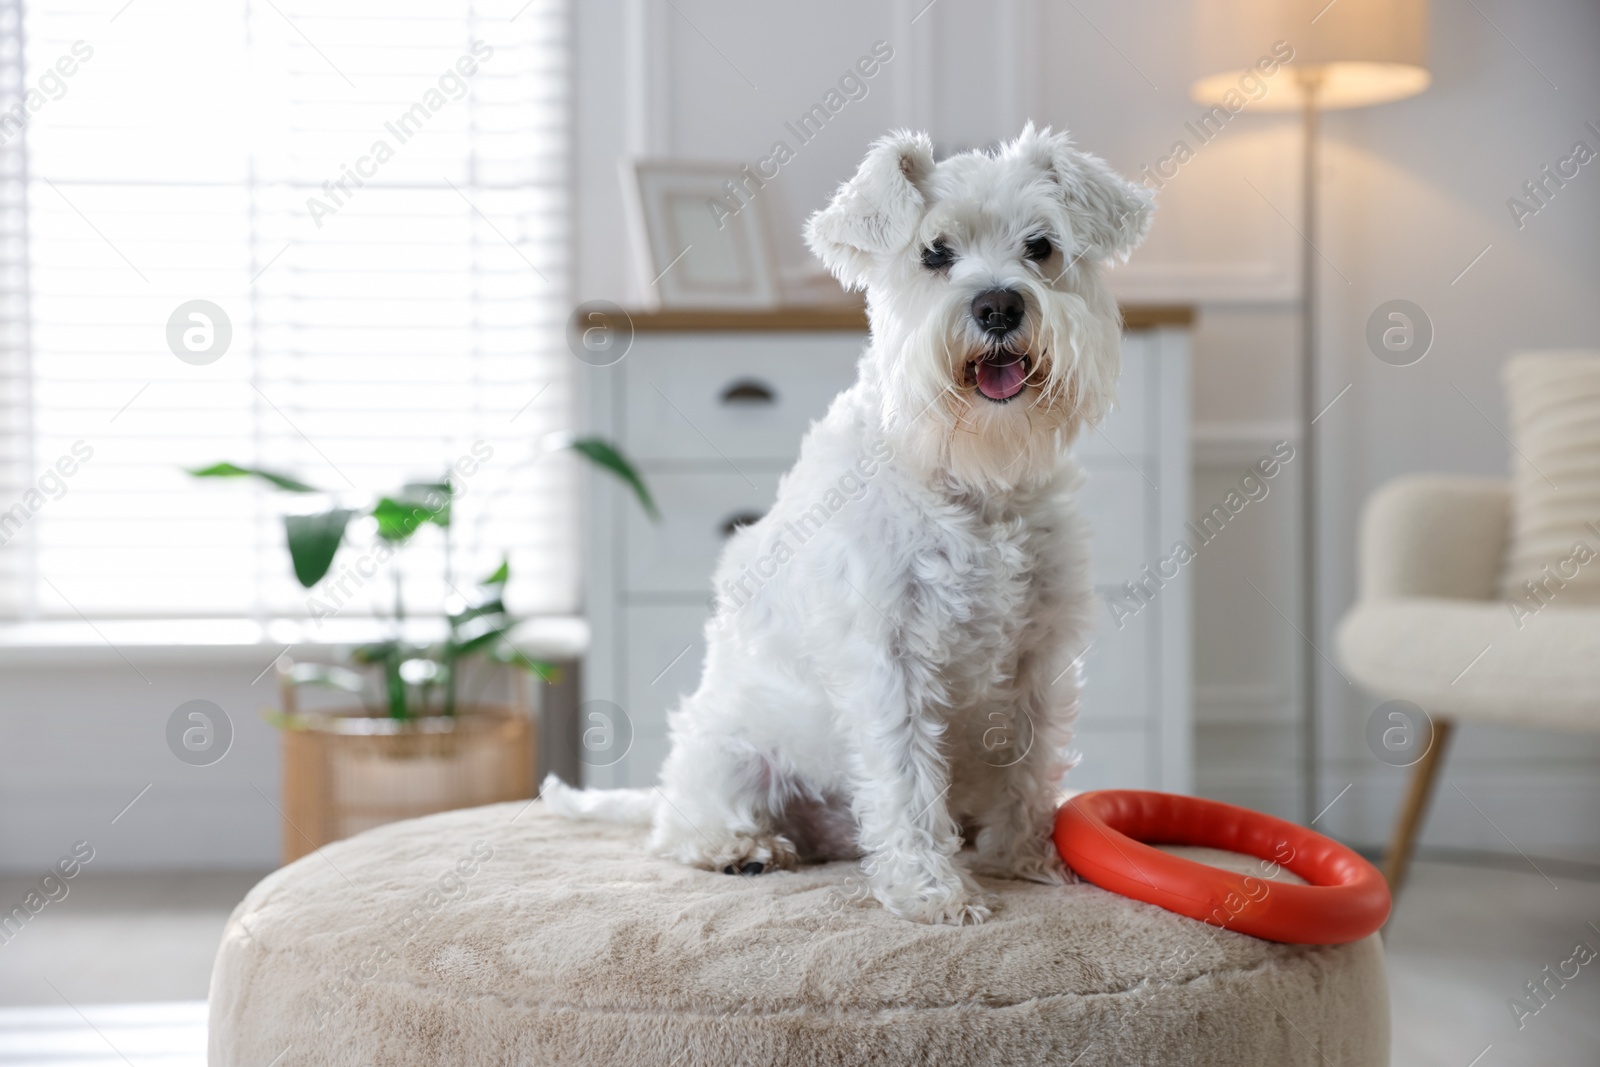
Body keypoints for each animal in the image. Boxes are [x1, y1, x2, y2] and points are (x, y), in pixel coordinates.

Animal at [547, 127, 1152, 927]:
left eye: (1042, 246)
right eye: (934, 252)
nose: (997, 306)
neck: (966, 474)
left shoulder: (1039, 654)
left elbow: (1028, 765)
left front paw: (1025, 858)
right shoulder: (889, 656)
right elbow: (905, 777)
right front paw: (931, 891)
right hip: (729, 751)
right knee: (679, 823)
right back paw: (741, 846)